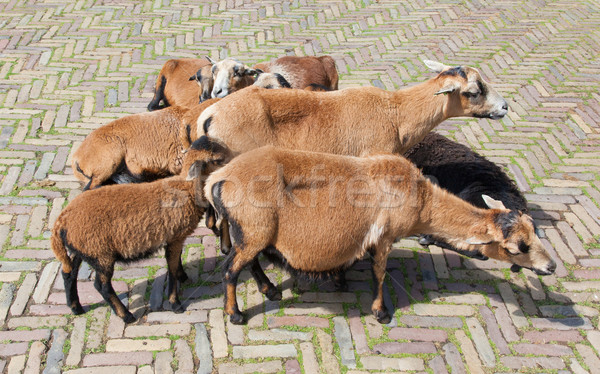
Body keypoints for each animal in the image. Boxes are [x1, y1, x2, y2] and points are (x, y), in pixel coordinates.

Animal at [51, 137, 232, 322]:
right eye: (217, 159)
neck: (185, 189)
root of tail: (61, 222)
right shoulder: (176, 237)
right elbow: (172, 268)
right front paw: (175, 303)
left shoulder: (173, 237)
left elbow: (176, 262)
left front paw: (182, 276)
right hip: (101, 254)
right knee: (101, 286)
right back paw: (126, 315)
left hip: (82, 249)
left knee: (69, 273)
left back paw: (76, 308)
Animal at [206, 146, 556, 324]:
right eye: (519, 246)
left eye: (533, 231)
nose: (551, 266)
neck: (422, 199)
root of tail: (218, 179)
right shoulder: (385, 237)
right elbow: (380, 273)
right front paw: (381, 312)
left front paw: (340, 280)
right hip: (254, 229)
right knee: (230, 271)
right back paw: (235, 314)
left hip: (249, 232)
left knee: (250, 263)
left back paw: (270, 290)